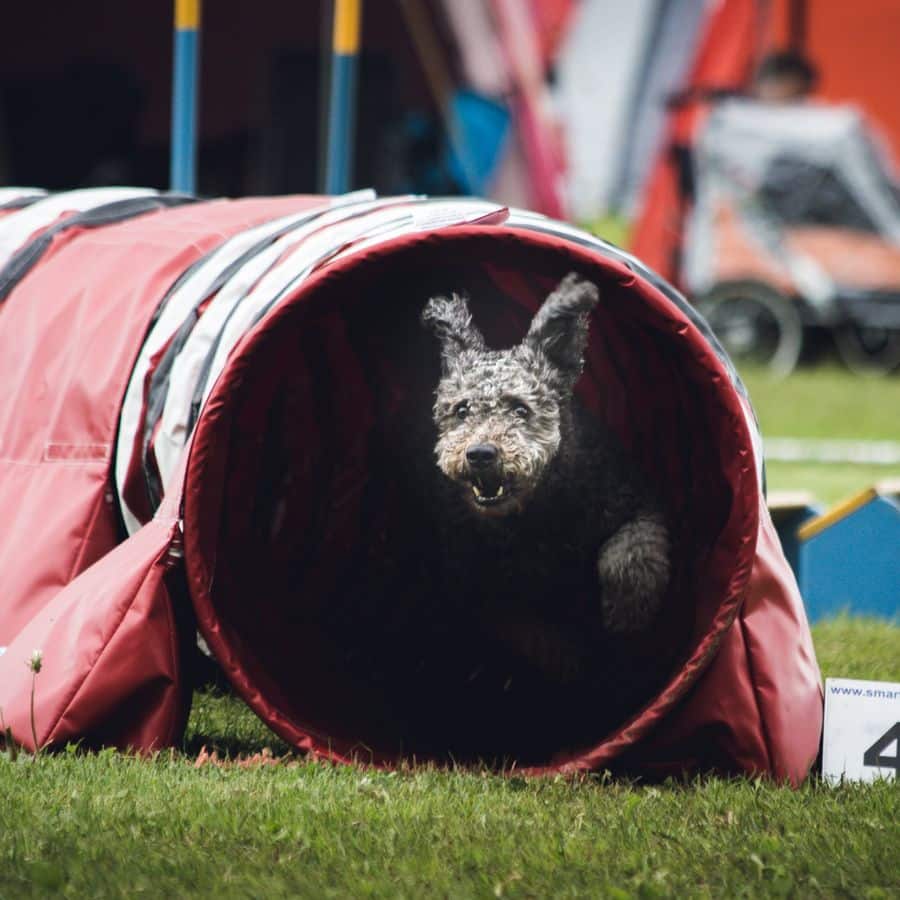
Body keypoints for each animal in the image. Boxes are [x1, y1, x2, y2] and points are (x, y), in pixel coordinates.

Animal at [422, 270, 668, 684]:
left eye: (521, 409)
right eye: (462, 410)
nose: (481, 454)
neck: (535, 514)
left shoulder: (636, 504)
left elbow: (629, 552)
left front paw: (626, 613)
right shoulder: (477, 580)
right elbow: (525, 628)